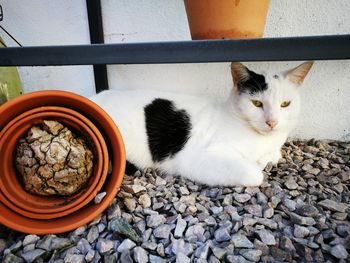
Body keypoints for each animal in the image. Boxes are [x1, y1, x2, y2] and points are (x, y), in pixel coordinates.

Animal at [91, 62, 314, 187]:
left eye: (285, 104)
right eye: (257, 103)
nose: (272, 122)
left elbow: (274, 157)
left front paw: (265, 160)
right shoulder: (194, 159)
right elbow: (254, 174)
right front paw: (255, 166)